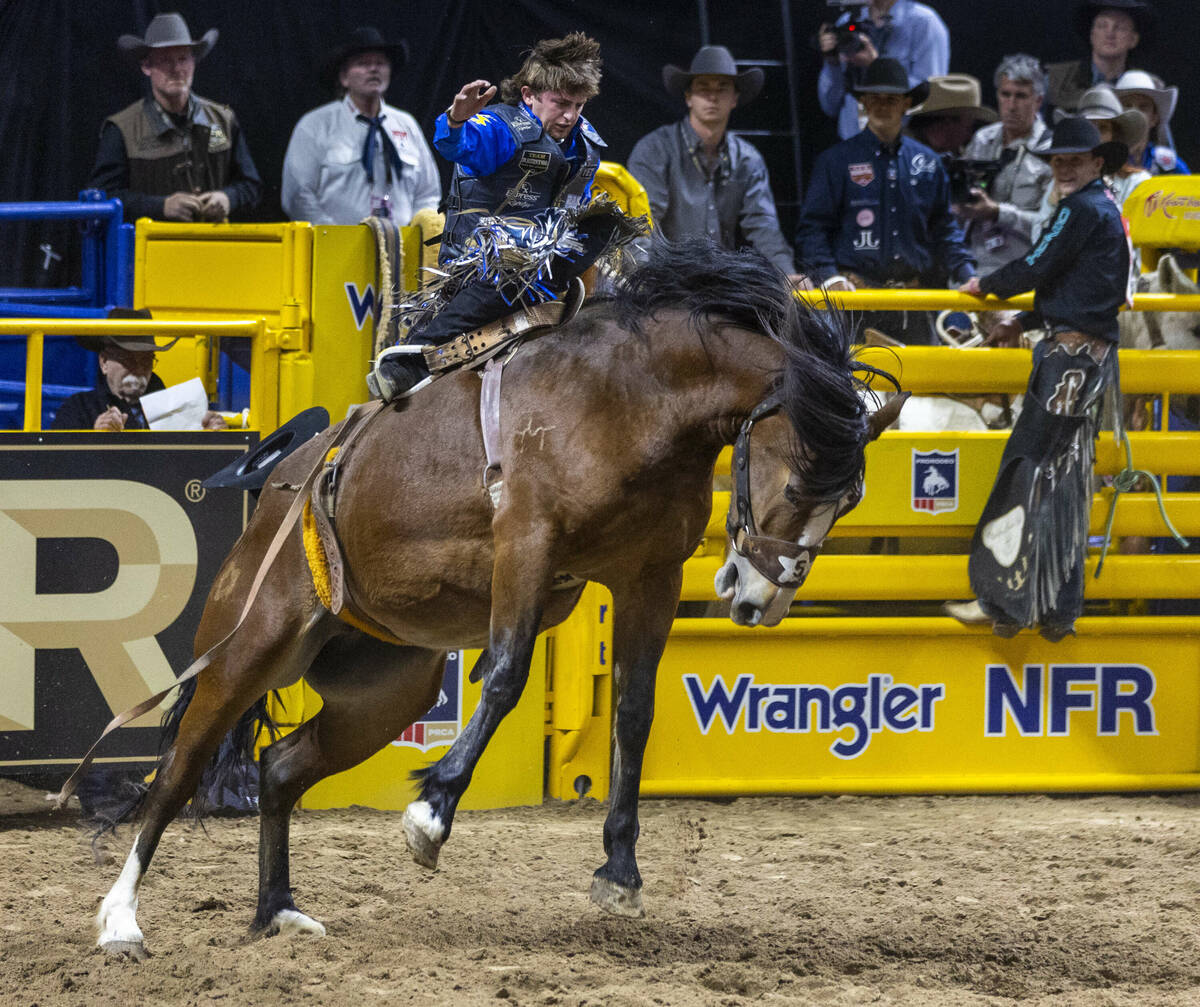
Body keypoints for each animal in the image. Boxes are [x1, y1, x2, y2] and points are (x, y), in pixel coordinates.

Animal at [91, 240, 902, 955]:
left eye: (850, 499)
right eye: (796, 483)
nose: (764, 598)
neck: (633, 400)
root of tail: (284, 486)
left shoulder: (650, 575)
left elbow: (634, 711)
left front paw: (620, 871)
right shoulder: (526, 545)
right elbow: (507, 675)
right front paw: (430, 814)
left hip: (386, 691)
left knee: (280, 766)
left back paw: (279, 911)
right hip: (250, 642)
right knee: (178, 771)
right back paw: (120, 919)